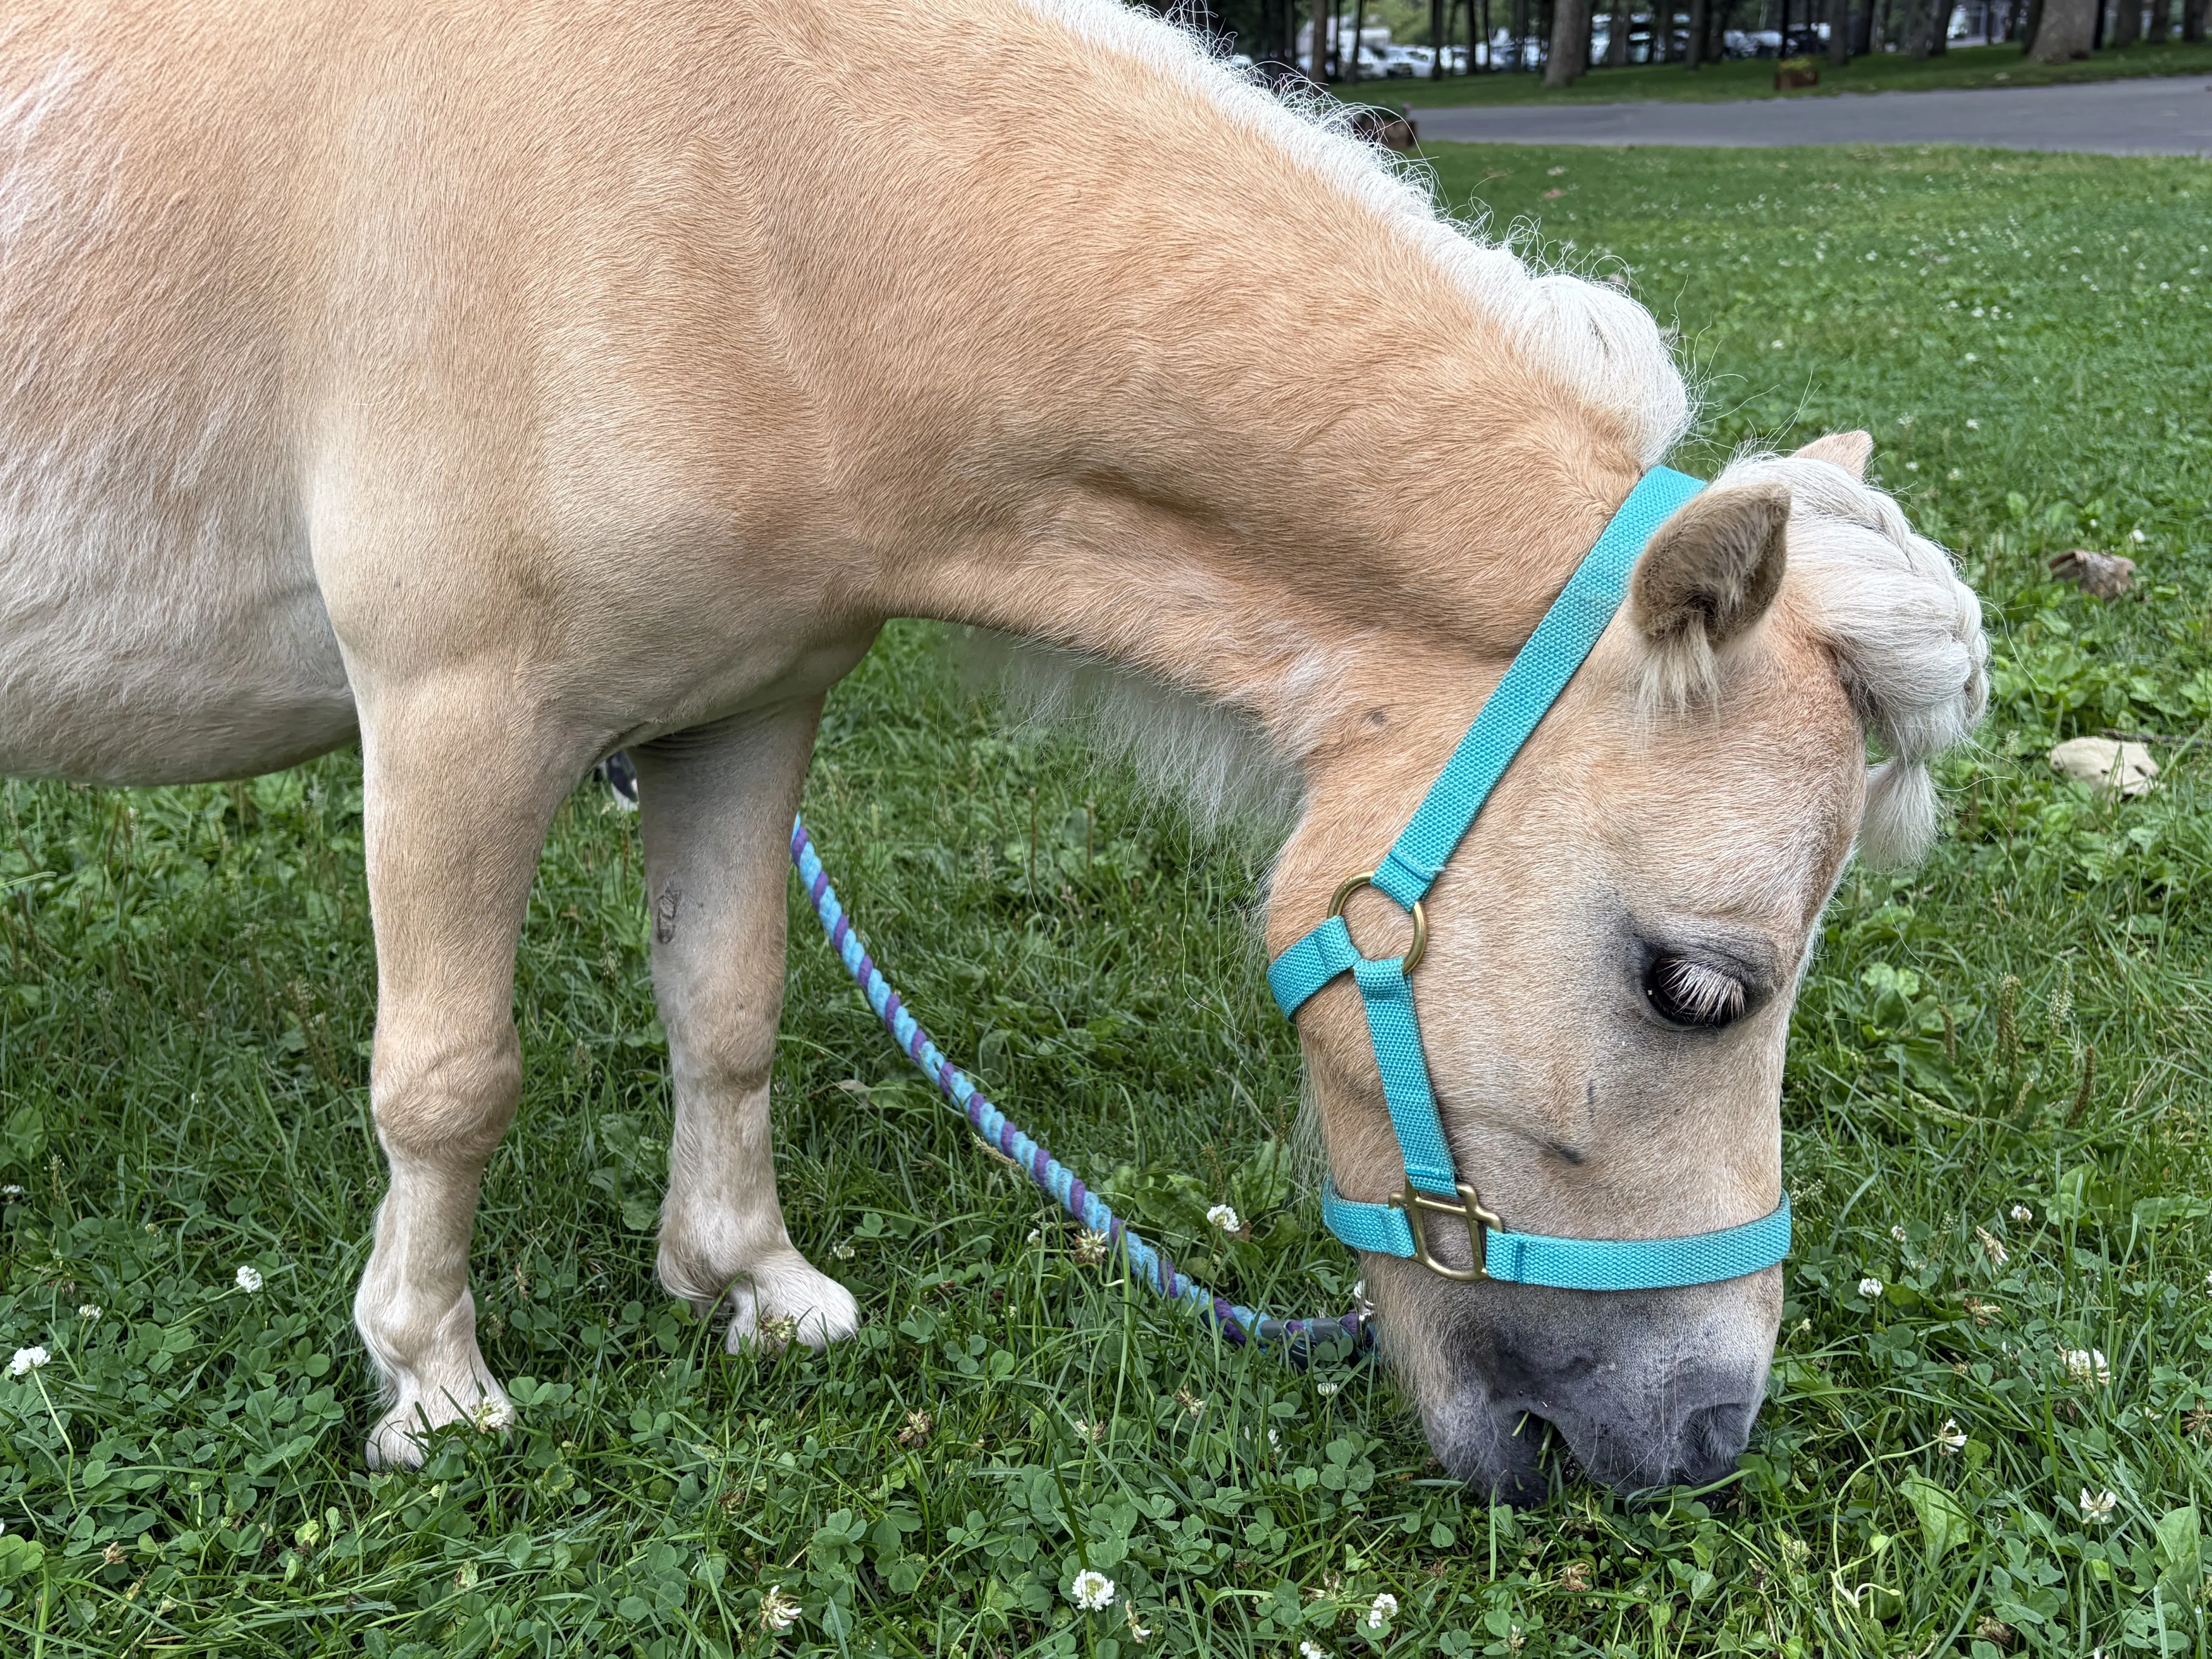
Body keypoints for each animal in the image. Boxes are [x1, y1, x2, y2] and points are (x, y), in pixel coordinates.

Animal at [0, 0, 1986, 1492]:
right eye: (1699, 988)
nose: (1700, 1439)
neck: (744, 196)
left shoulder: (747, 711)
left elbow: (727, 1010)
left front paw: (746, 1283)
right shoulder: (456, 720)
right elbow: (447, 1081)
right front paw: (432, 1382)